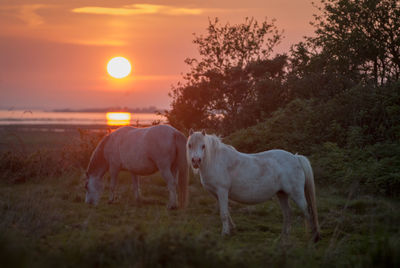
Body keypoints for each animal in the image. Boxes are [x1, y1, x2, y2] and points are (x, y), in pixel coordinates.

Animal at [188, 130, 322, 243]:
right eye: (189, 145)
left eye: (203, 146)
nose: (196, 161)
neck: (215, 160)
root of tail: (295, 157)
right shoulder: (217, 194)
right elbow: (227, 212)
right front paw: (232, 229)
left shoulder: (222, 191)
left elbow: (224, 214)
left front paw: (225, 233)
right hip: (282, 194)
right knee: (288, 213)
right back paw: (283, 238)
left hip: (296, 193)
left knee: (307, 211)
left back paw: (313, 238)